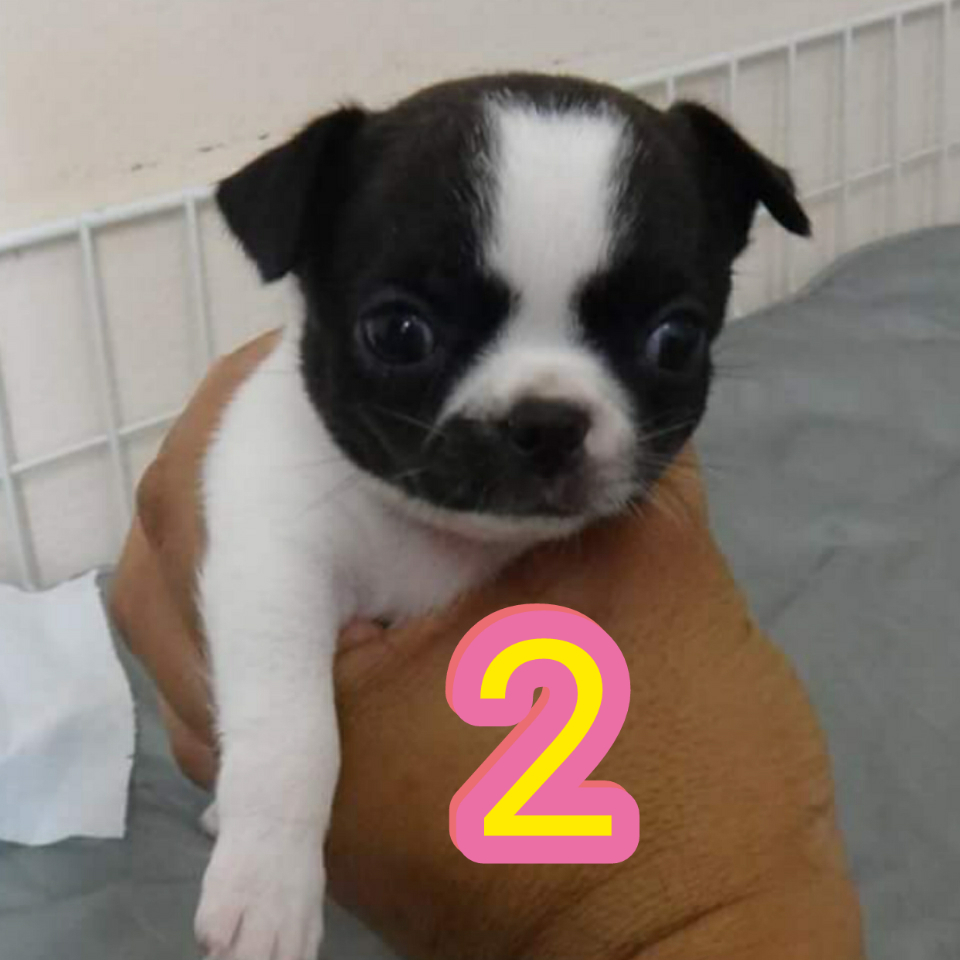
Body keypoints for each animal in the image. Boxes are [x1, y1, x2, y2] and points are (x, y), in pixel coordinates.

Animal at [191, 73, 809, 960]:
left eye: (675, 339)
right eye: (398, 332)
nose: (546, 420)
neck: (436, 537)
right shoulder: (273, 555)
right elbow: (291, 727)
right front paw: (267, 885)